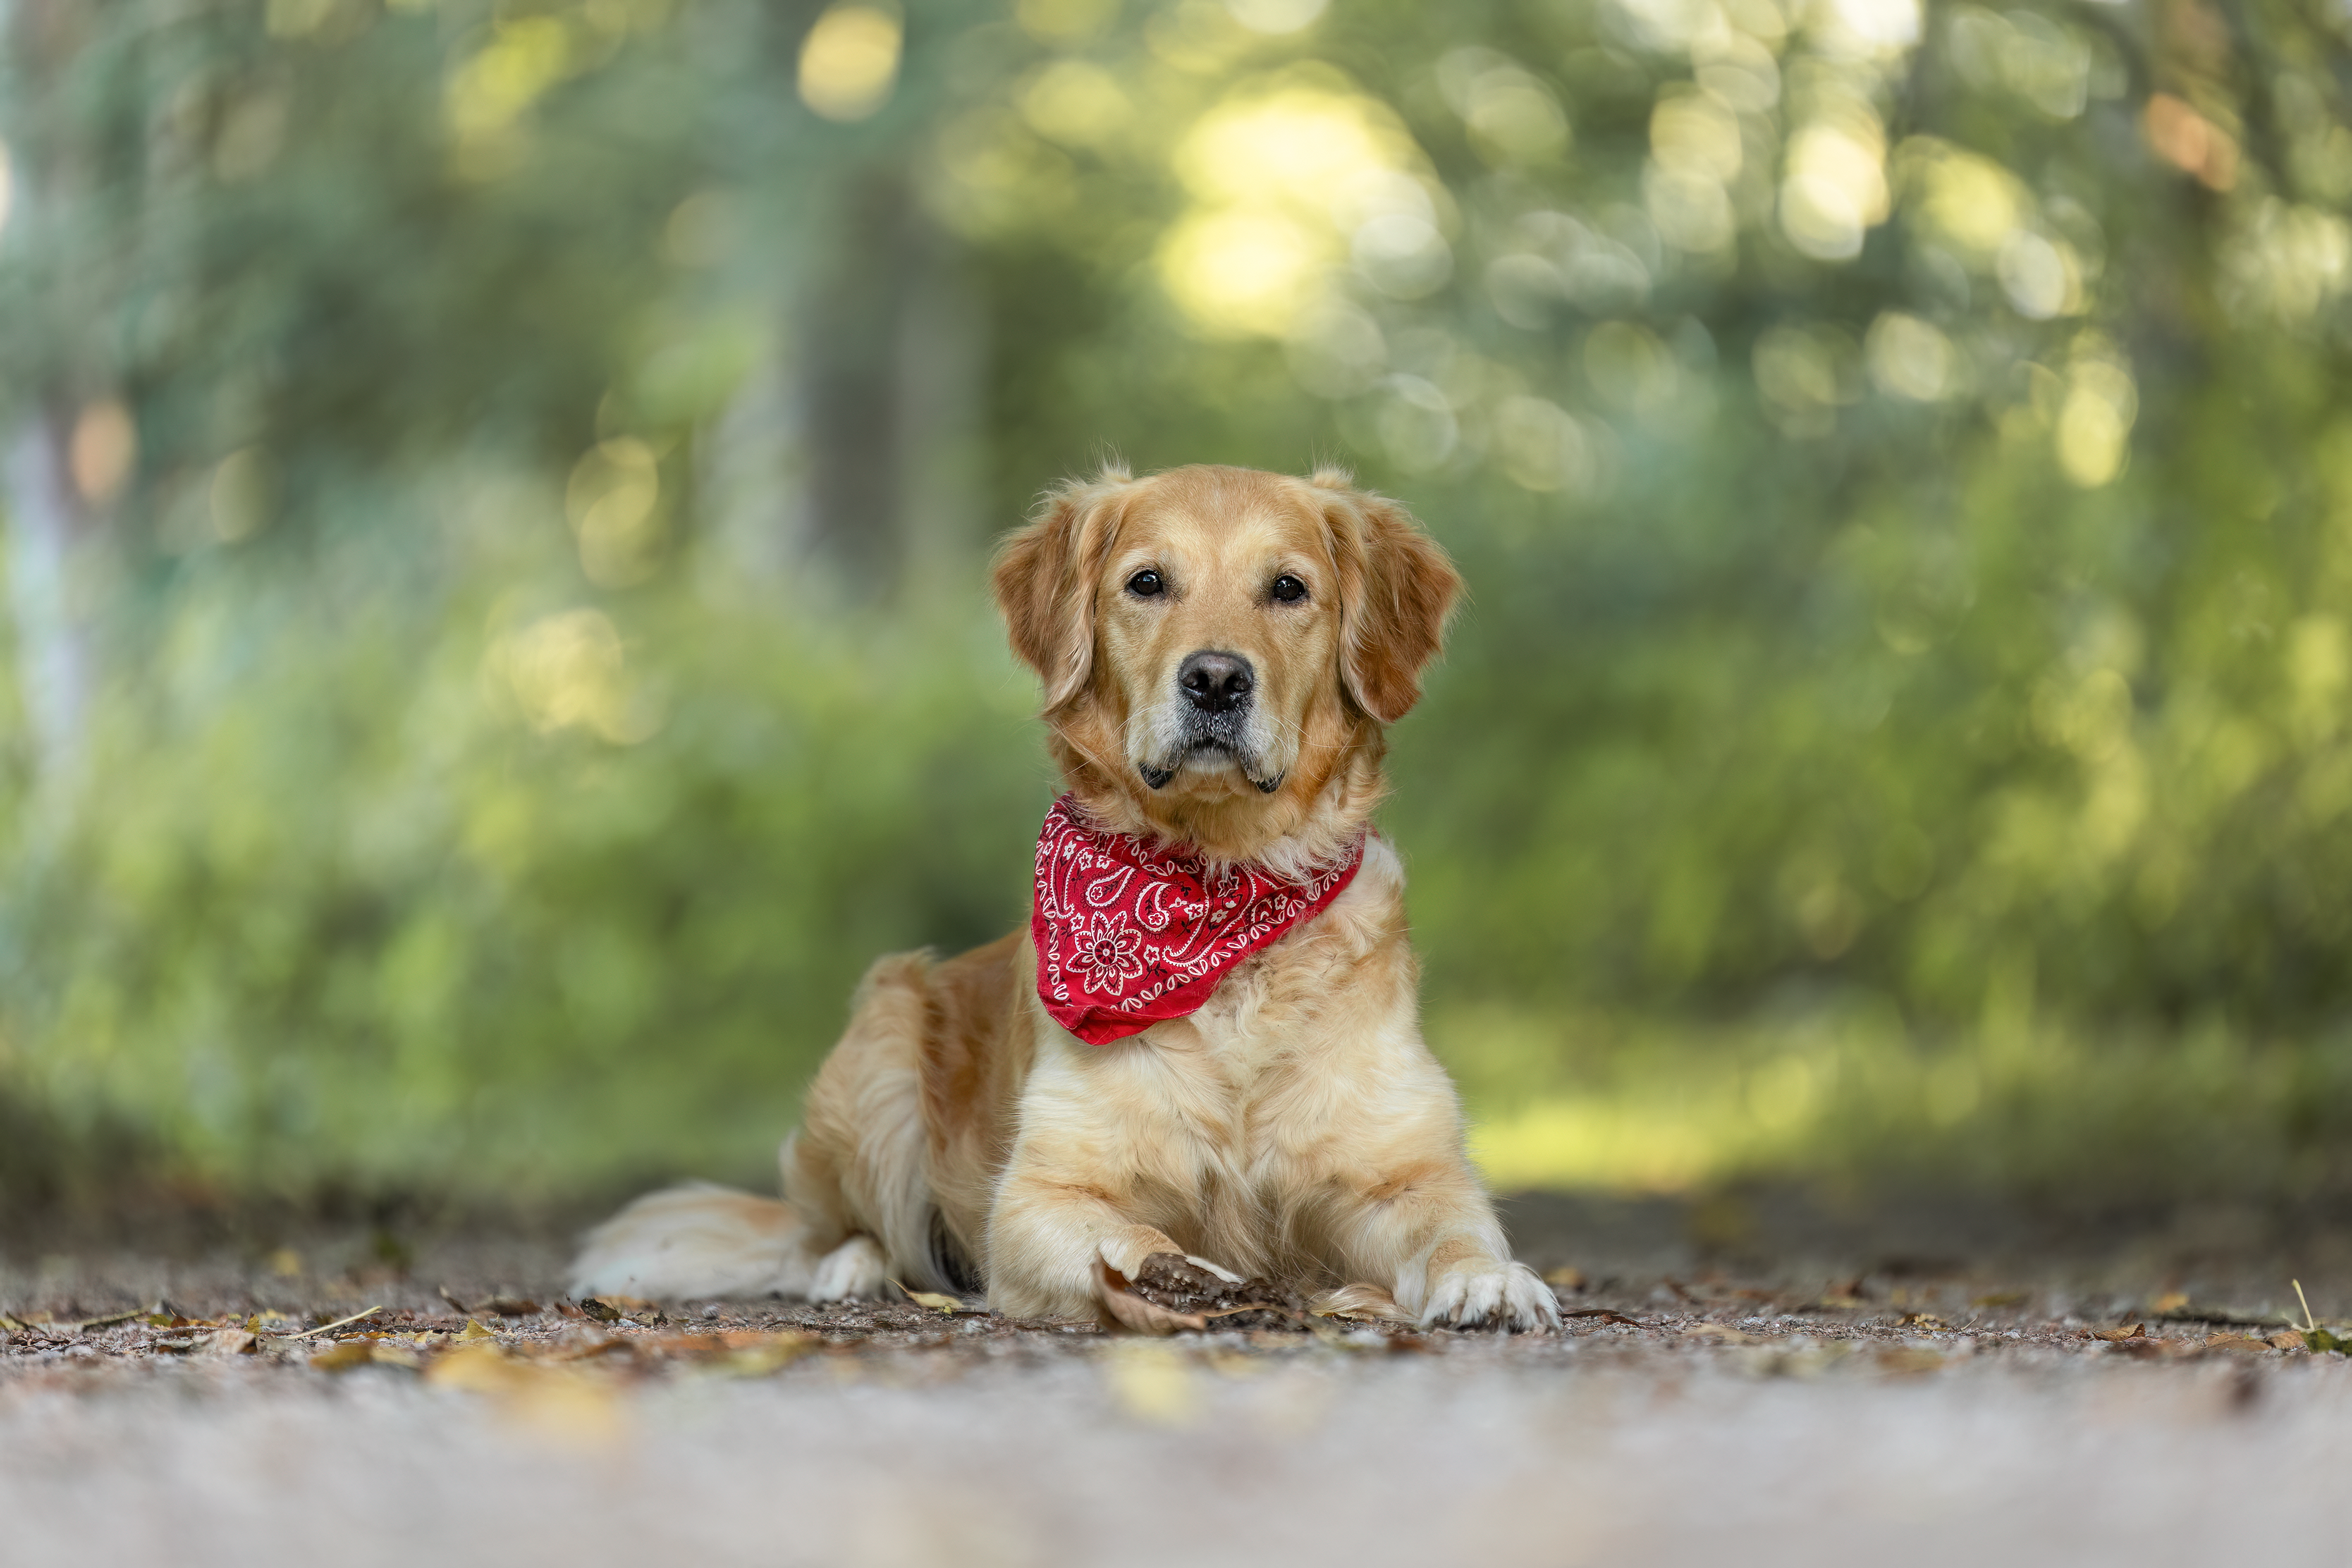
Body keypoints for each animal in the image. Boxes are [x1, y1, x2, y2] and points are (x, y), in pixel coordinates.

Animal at [569, 460, 1562, 1335]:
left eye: (1287, 589)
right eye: (1147, 583)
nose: (1215, 679)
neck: (1219, 897)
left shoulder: (1405, 1169)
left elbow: (1452, 1227)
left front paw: (1491, 1280)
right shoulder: (1038, 1194)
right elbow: (1135, 1236)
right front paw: (1205, 1280)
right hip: (880, 1043)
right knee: (830, 1231)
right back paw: (853, 1269)